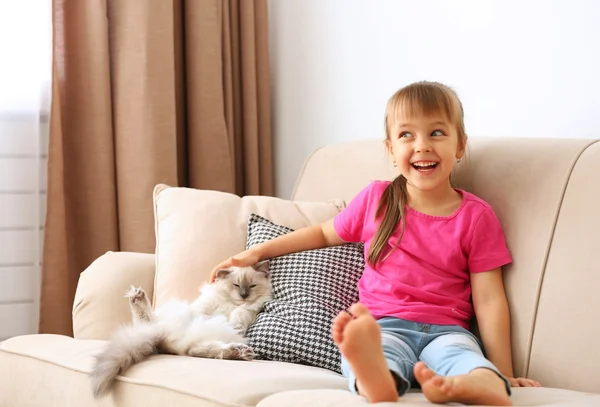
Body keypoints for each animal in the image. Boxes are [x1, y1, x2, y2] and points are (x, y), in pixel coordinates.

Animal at [89, 262, 272, 398]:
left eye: (252, 286)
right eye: (236, 285)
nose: (244, 295)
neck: (231, 303)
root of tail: (159, 340)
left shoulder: (246, 312)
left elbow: (239, 316)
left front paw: (235, 323)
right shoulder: (205, 305)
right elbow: (202, 312)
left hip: (194, 341)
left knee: (197, 350)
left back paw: (240, 352)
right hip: (165, 324)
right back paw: (137, 296)